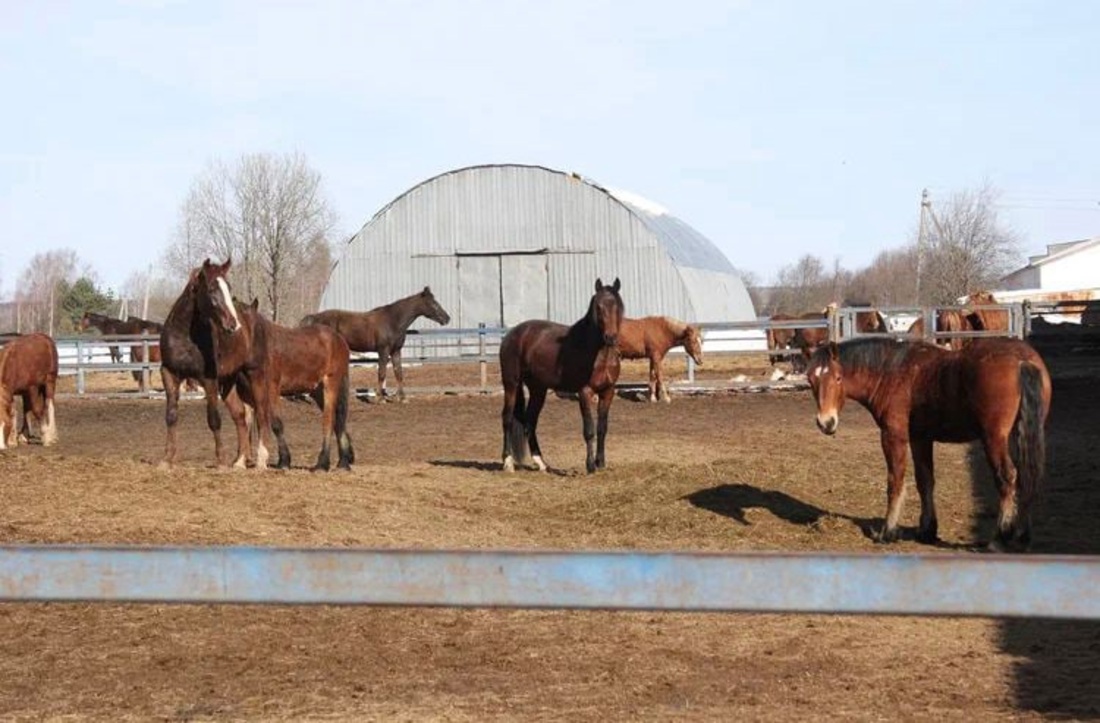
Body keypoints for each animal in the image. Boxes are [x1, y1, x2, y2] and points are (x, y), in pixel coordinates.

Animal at [159, 259, 253, 468]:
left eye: (228, 288)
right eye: (211, 289)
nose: (233, 325)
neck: (185, 337)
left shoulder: (208, 379)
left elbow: (214, 419)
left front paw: (221, 460)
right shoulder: (169, 374)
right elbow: (171, 416)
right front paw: (167, 459)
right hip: (228, 382)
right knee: (240, 415)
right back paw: (240, 460)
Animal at [196, 274, 352, 470]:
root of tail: (339, 340)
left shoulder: (271, 390)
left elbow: (275, 424)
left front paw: (282, 460)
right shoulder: (250, 397)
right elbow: (253, 424)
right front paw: (250, 459)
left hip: (330, 384)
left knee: (329, 420)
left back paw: (323, 463)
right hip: (317, 391)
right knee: (339, 422)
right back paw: (343, 461)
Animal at [299, 286, 448, 400]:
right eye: (433, 303)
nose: (447, 318)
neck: (393, 321)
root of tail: (314, 318)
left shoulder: (396, 351)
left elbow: (398, 372)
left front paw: (402, 398)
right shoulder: (383, 351)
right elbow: (382, 373)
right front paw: (380, 398)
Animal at [501, 276, 624, 473]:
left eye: (617, 306)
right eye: (598, 307)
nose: (610, 337)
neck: (598, 352)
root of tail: (512, 334)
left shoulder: (608, 391)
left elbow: (602, 428)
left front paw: (601, 463)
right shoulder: (585, 392)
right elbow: (589, 430)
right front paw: (590, 466)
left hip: (538, 389)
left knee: (530, 422)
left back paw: (542, 463)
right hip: (511, 384)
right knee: (507, 418)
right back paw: (508, 462)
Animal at [809, 334, 1047, 550]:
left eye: (838, 378)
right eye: (811, 380)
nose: (826, 422)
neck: (891, 373)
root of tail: (1023, 361)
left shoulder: (893, 436)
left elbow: (895, 480)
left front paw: (888, 531)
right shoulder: (920, 438)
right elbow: (925, 480)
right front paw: (927, 530)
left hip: (994, 438)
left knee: (1007, 476)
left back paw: (999, 538)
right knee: (1028, 474)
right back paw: (1022, 536)